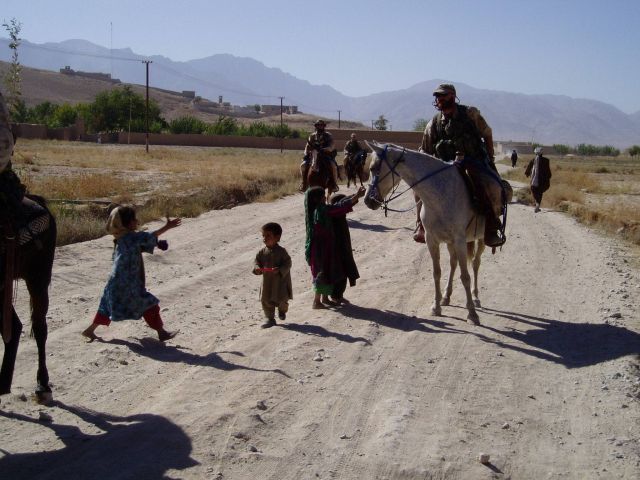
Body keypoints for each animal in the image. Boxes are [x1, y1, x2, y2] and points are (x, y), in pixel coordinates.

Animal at [364, 142, 496, 322]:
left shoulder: (460, 240)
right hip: (450, 243)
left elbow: (465, 276)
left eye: (373, 168)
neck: (439, 193)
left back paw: (475, 298)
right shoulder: (431, 240)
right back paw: (446, 296)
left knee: (475, 264)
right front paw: (436, 306)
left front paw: (472, 314)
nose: (367, 200)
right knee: (453, 263)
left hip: (480, 238)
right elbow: (437, 273)